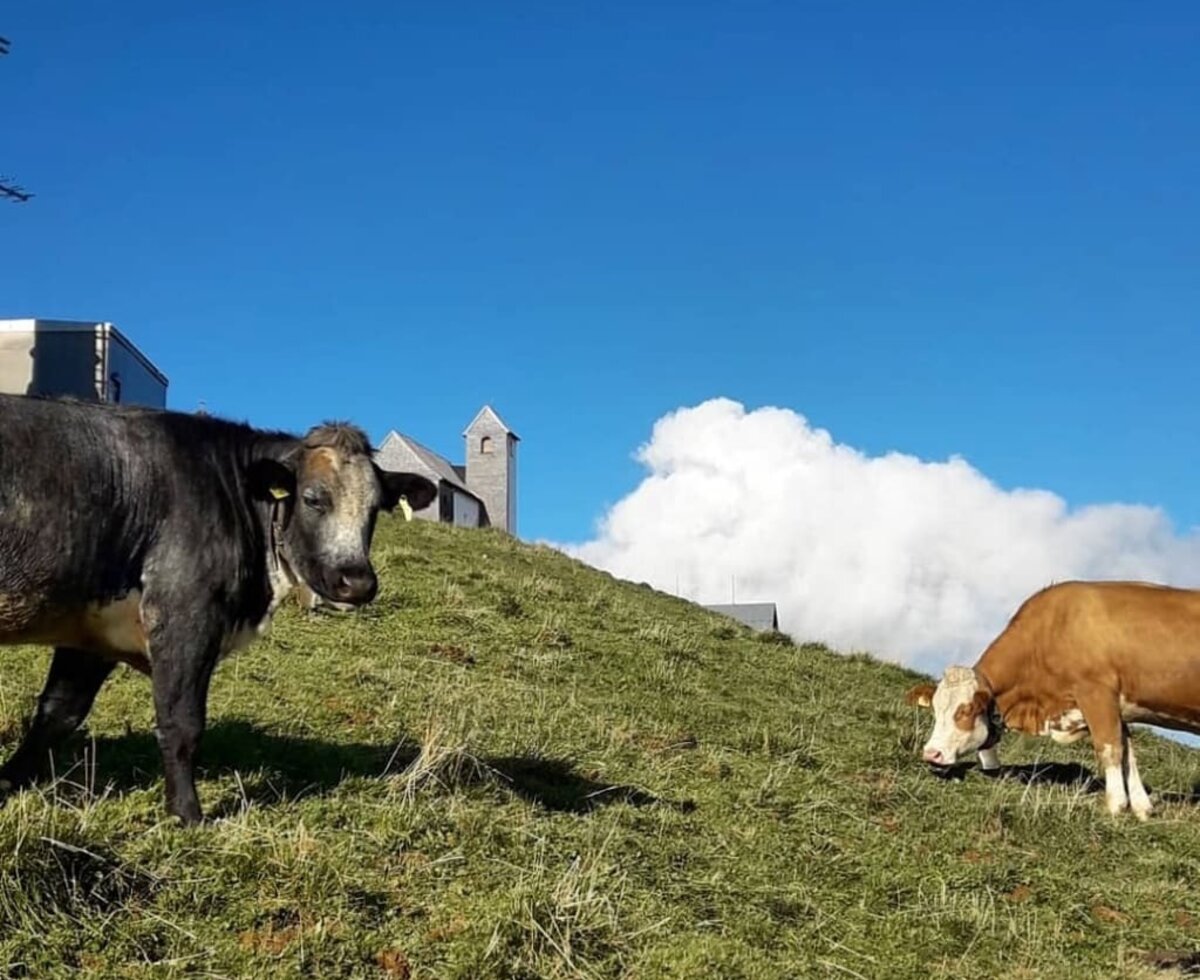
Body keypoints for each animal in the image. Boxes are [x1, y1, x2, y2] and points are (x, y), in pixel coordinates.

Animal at [0, 393, 439, 820]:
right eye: (312, 498)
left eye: (376, 508)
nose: (357, 581)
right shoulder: (185, 616)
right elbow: (182, 723)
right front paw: (187, 814)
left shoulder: (98, 628)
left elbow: (58, 712)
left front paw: (9, 781)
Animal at [902, 580, 1200, 820]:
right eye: (936, 709)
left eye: (967, 709)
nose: (931, 753)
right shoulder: (1114, 707)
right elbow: (1128, 752)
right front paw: (1142, 808)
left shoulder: (1096, 693)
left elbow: (1110, 749)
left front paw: (1115, 806)